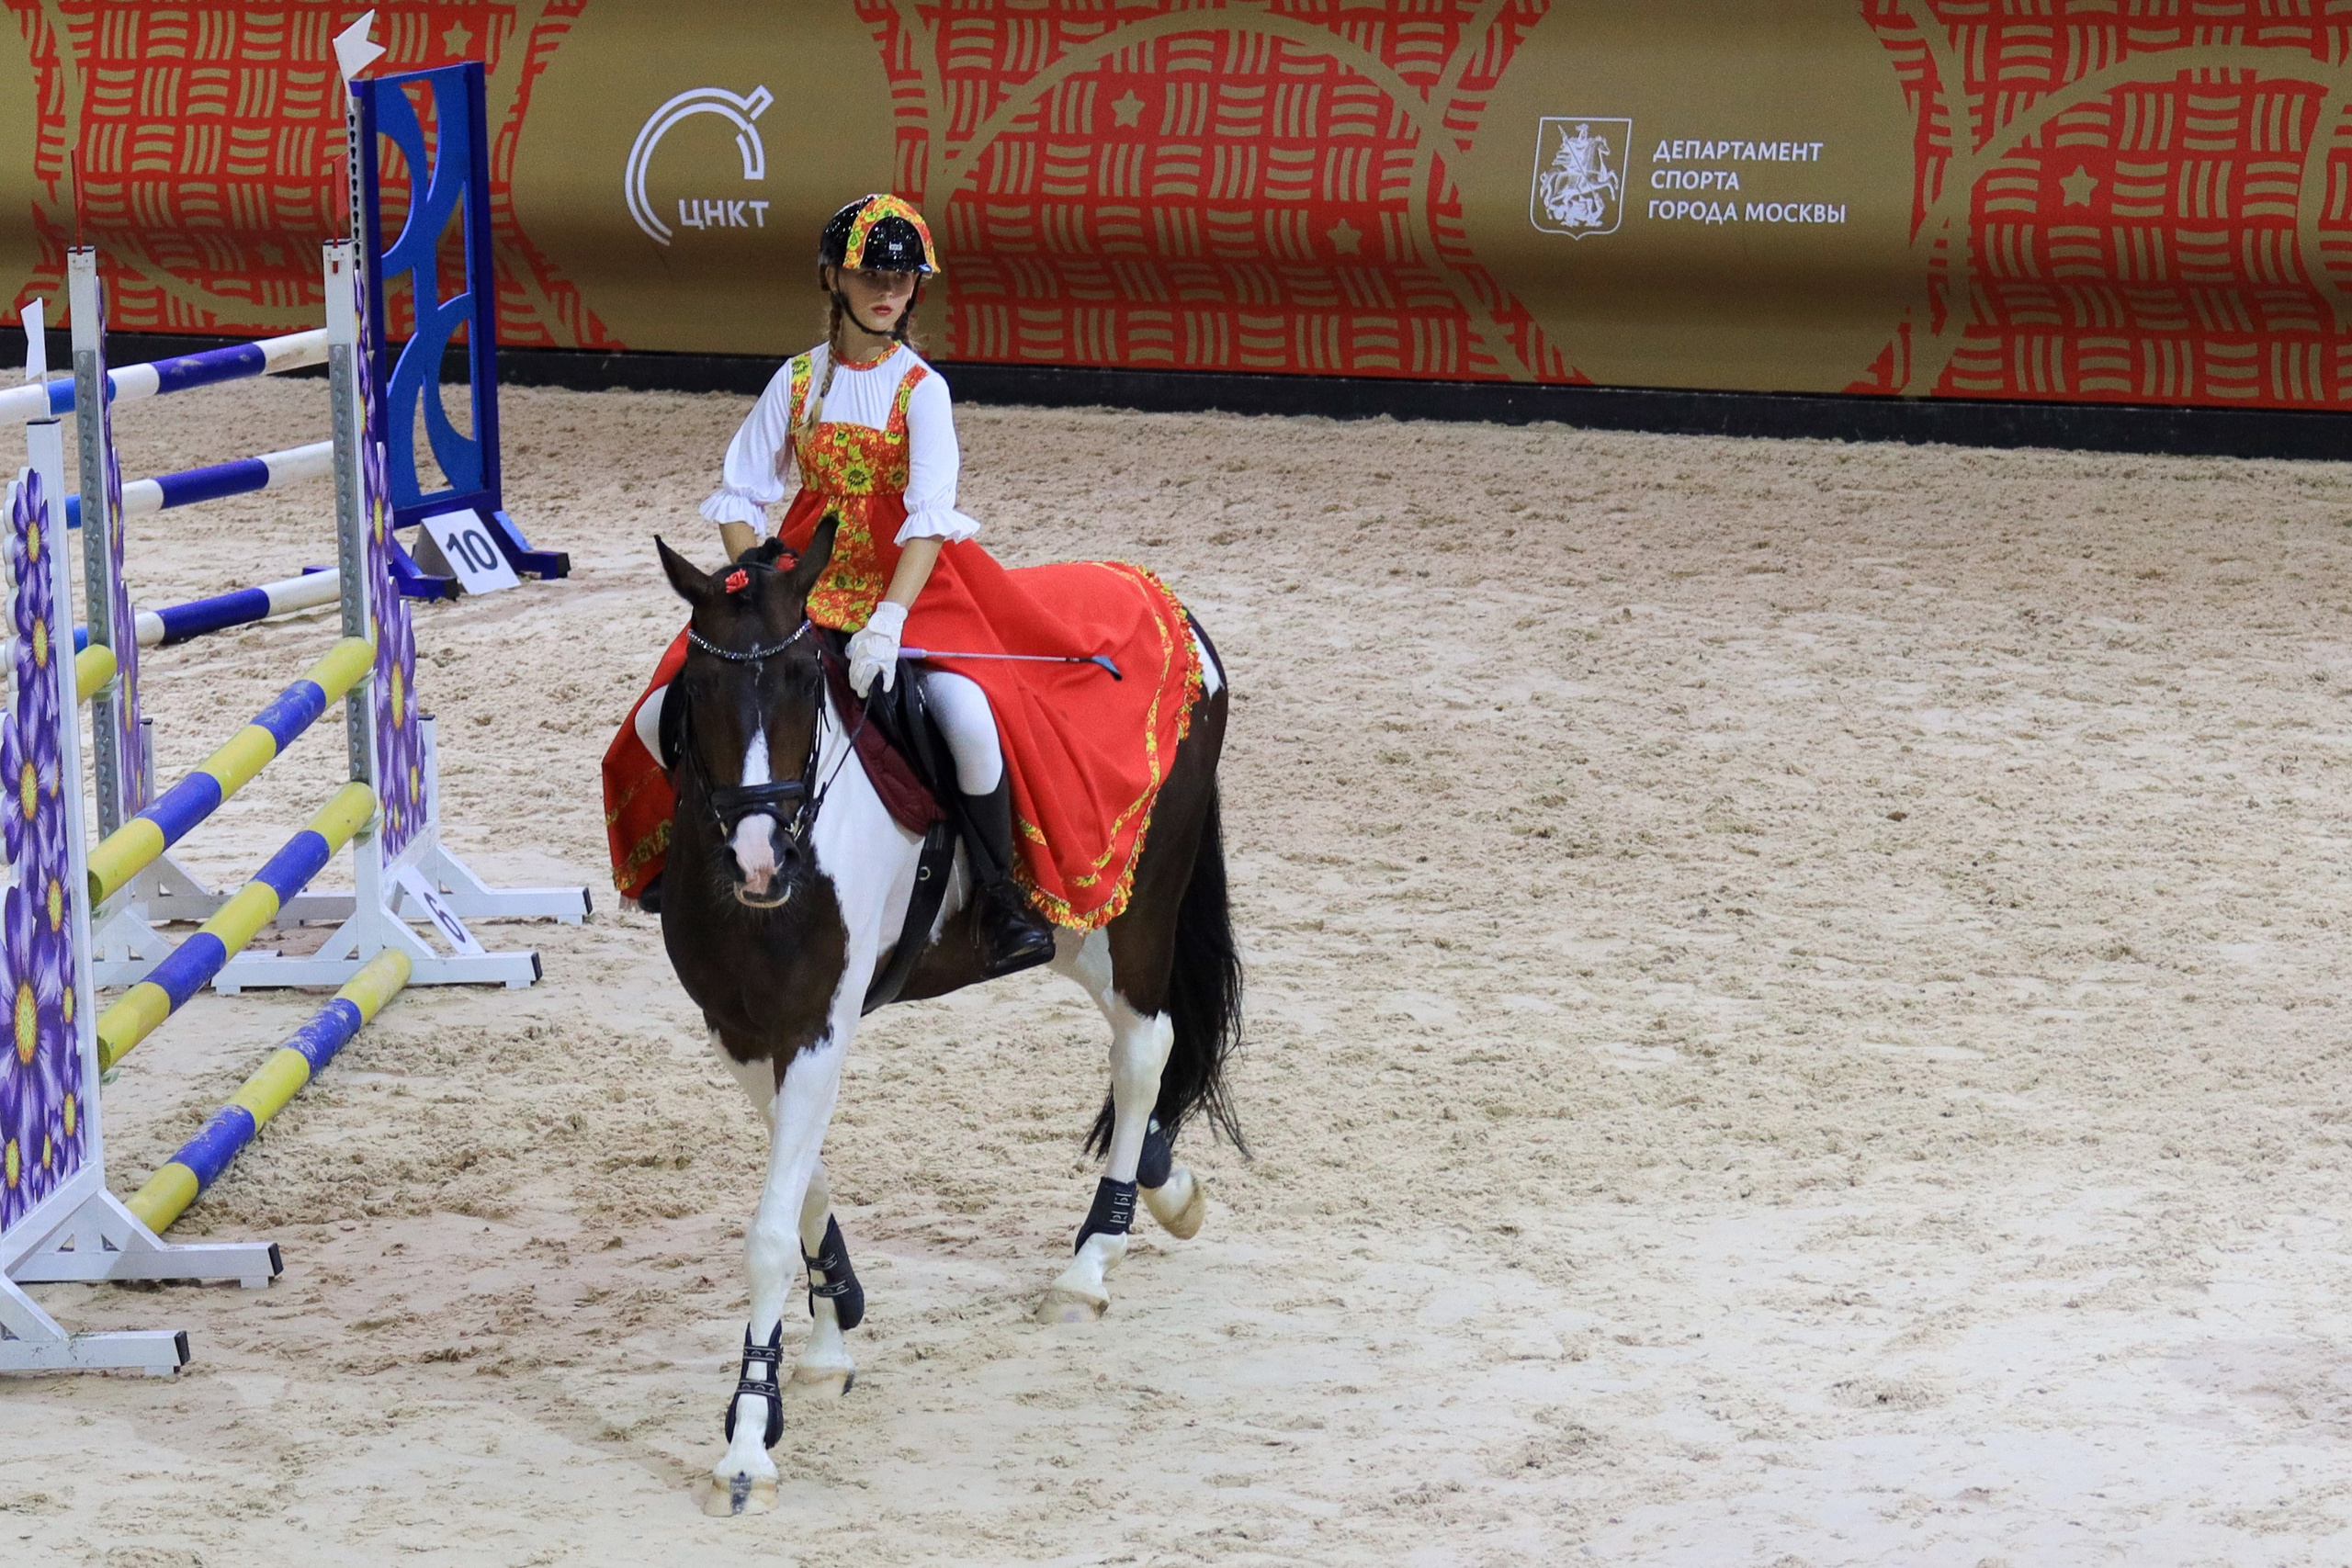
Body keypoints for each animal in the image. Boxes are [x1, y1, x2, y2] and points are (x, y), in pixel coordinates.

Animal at [650, 522, 1243, 1516]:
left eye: (805, 679)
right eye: (695, 689)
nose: (762, 860)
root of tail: (1165, 603)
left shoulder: (817, 1024)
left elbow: (768, 1231)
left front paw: (748, 1440)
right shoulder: (739, 1032)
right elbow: (803, 1182)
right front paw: (831, 1331)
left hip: (1134, 899)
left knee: (1142, 1046)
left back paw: (1091, 1260)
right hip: (1075, 926)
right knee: (1145, 1049)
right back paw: (1165, 1183)